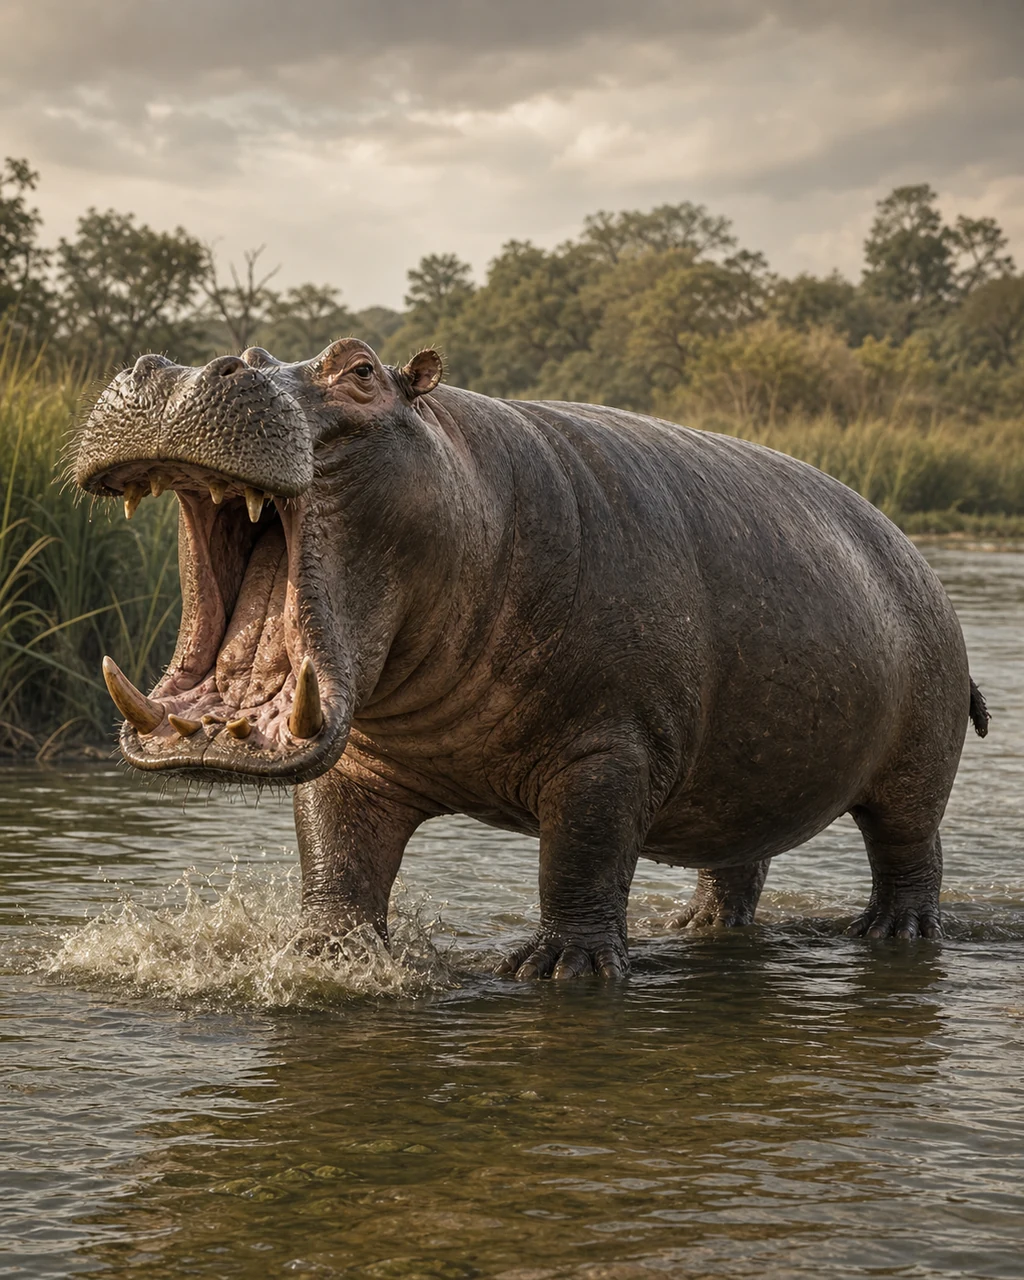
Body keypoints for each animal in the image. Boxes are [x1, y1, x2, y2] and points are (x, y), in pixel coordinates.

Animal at [74, 340, 988, 978]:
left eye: (361, 369)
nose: (184, 367)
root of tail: (915, 552)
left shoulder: (610, 750)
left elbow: (580, 856)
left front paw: (561, 970)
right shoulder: (355, 767)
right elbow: (339, 864)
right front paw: (326, 959)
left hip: (915, 769)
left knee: (910, 852)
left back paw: (895, 933)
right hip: (748, 773)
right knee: (738, 860)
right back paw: (697, 928)